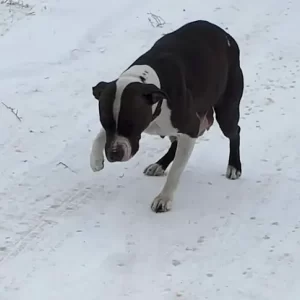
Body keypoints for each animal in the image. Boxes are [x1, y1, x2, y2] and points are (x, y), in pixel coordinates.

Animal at [89, 19, 244, 212]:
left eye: (131, 123)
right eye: (105, 121)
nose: (114, 154)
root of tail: (226, 36)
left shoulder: (190, 128)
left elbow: (176, 170)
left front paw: (164, 198)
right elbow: (99, 135)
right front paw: (95, 159)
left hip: (226, 112)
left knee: (234, 131)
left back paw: (234, 166)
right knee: (175, 143)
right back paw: (159, 164)